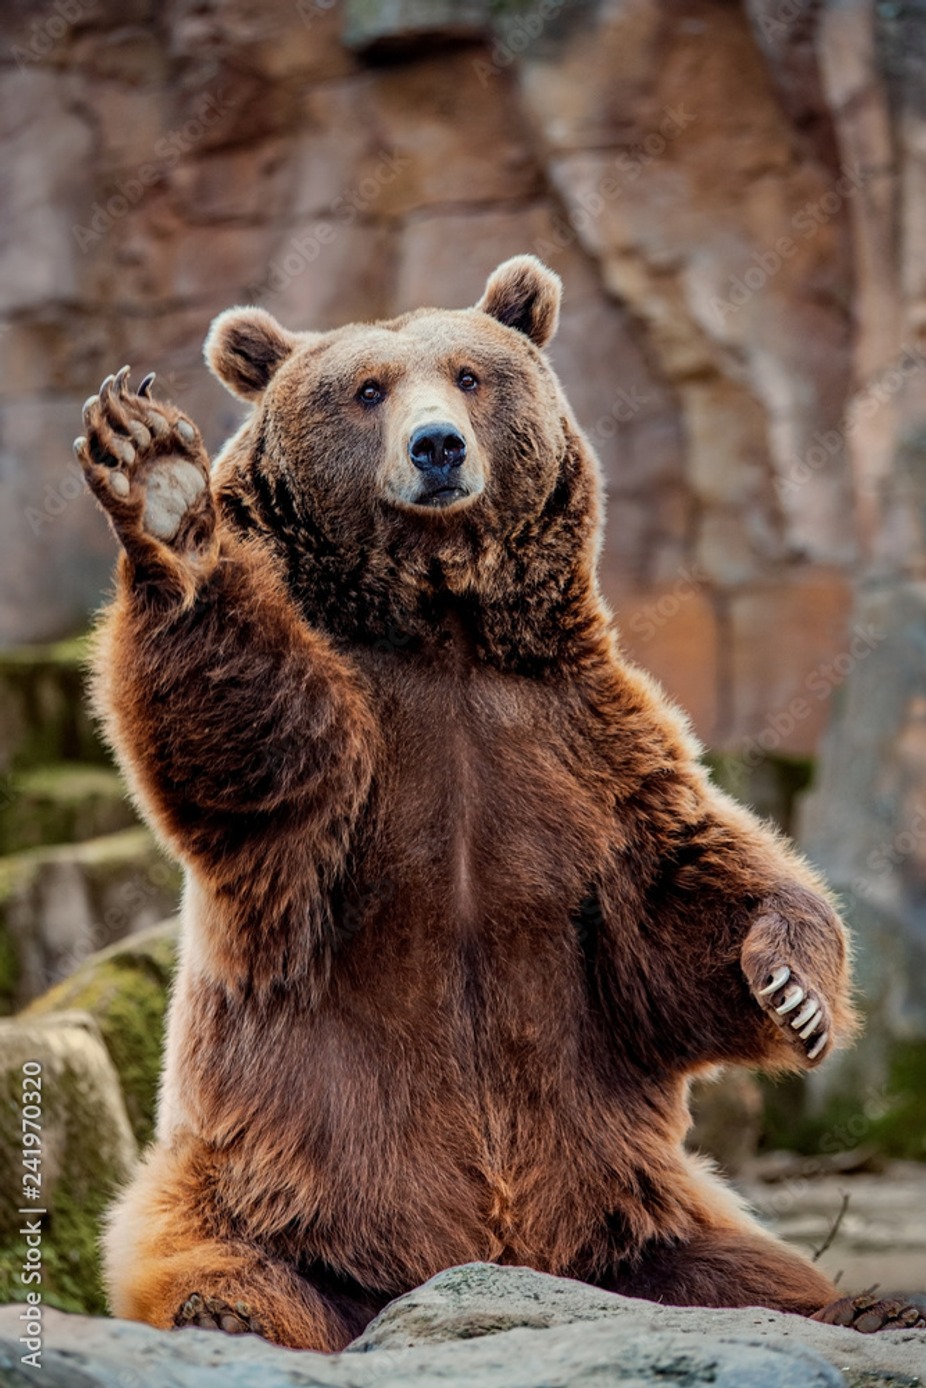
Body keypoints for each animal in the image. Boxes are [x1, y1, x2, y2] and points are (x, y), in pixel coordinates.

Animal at [74, 255, 926, 1348]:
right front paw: (159, 478)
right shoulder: (345, 777)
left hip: (629, 1209)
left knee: (742, 1270)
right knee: (234, 1266)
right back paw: (231, 1316)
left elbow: (685, 889)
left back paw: (864, 1303)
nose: (436, 446)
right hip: (268, 1187)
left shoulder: (582, 745)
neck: (447, 629)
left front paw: (792, 989)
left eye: (472, 374)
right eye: (368, 389)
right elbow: (245, 735)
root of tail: (486, 1264)